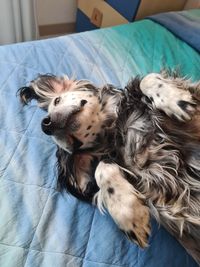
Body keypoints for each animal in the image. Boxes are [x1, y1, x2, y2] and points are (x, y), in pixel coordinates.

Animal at [18, 71, 200, 266]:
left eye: (57, 100)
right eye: (70, 147)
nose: (46, 124)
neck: (116, 125)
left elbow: (147, 79)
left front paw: (175, 100)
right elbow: (102, 168)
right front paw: (129, 214)